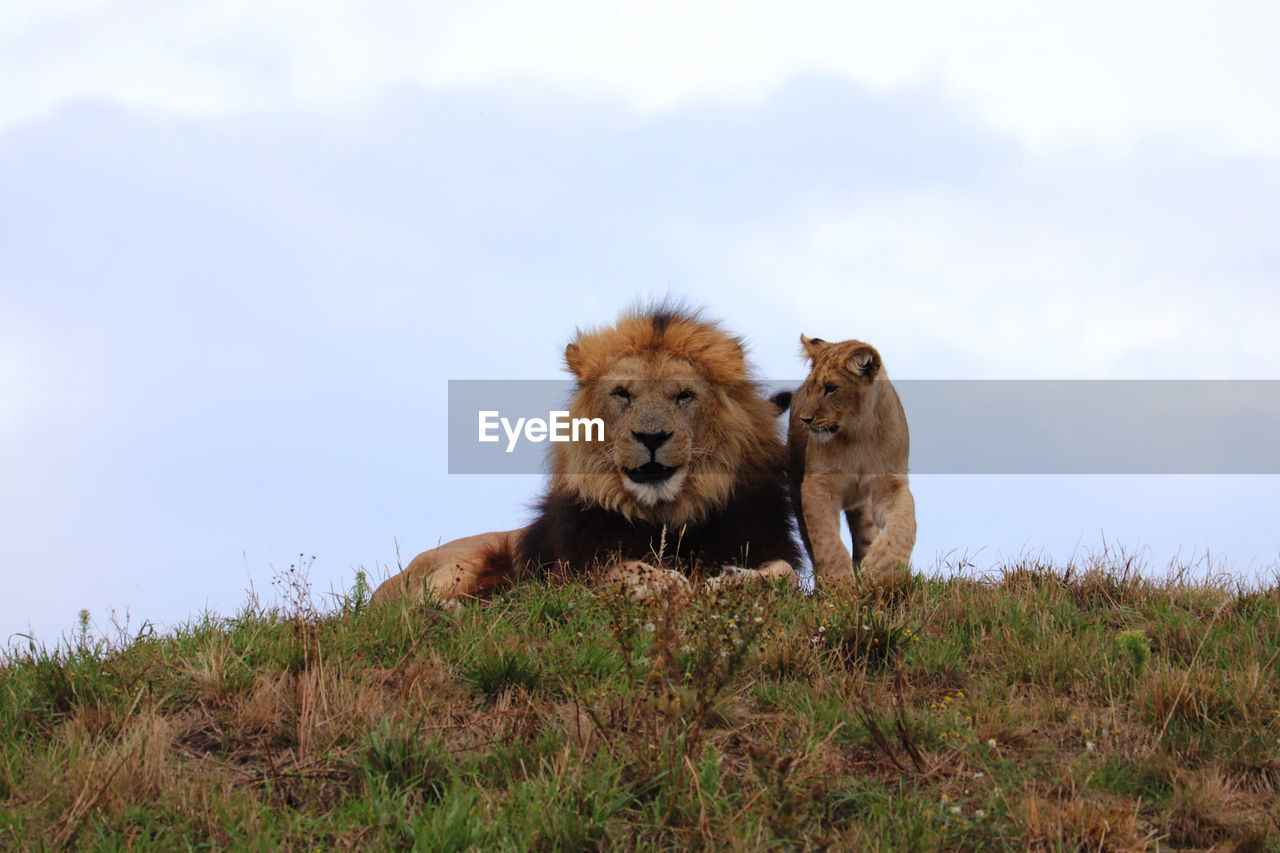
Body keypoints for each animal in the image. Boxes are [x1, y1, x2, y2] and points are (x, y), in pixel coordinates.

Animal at [370, 304, 802, 607]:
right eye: (622, 394)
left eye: (684, 396)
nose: (652, 436)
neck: (666, 515)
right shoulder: (573, 569)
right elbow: (621, 570)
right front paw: (664, 582)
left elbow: (786, 574)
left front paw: (731, 580)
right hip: (465, 560)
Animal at [785, 335, 916, 590]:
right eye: (810, 388)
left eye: (831, 388)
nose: (805, 419)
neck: (859, 435)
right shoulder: (816, 485)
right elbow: (827, 539)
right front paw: (838, 585)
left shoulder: (891, 486)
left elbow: (903, 524)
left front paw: (881, 567)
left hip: (863, 509)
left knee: (864, 537)